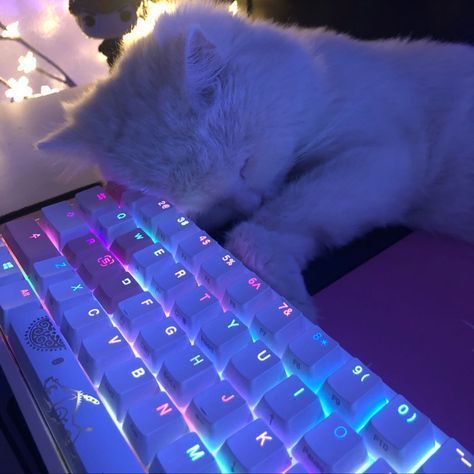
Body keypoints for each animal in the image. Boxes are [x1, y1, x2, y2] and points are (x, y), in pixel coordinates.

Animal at [38, 0, 474, 318]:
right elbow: (277, 231)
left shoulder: (383, 154)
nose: (250, 201)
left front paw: (300, 313)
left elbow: (268, 224)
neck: (316, 74)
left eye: (247, 164)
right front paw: (289, 298)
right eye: (207, 205)